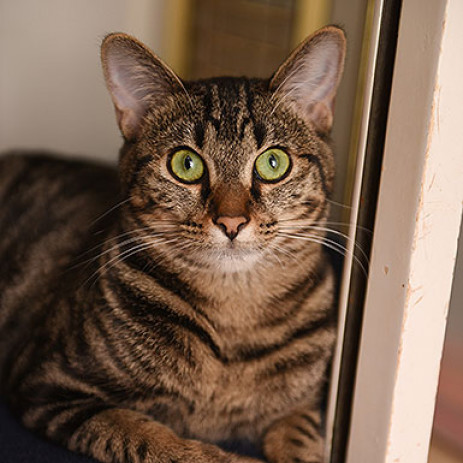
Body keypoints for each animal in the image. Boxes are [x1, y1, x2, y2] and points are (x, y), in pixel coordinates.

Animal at [0, 26, 346, 463]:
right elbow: (153, 439)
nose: (231, 221)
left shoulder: (307, 406)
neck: (234, 316)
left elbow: (301, 436)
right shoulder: (49, 386)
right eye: (186, 164)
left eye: (273, 163)